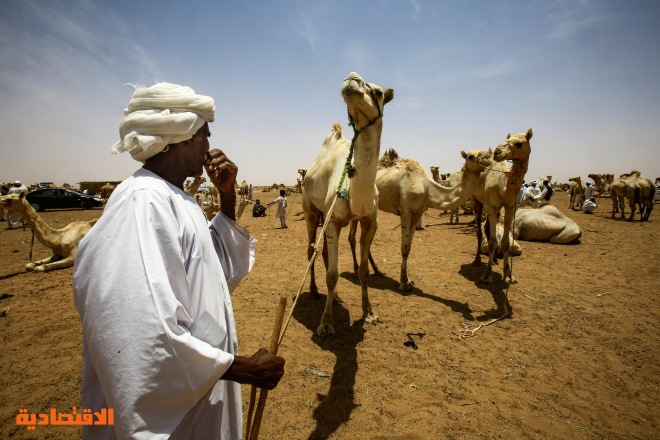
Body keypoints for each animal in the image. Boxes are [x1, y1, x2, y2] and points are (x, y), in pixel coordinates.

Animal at [302, 73, 394, 340]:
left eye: (379, 92)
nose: (352, 79)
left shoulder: (369, 222)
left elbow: (363, 271)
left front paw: (369, 313)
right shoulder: (334, 221)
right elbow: (332, 275)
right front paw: (326, 324)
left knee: (322, 251)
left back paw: (337, 298)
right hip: (310, 210)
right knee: (311, 250)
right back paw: (314, 291)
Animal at [350, 148, 490, 292]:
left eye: (486, 153)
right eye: (470, 156)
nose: (488, 159)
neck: (427, 187)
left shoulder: (418, 212)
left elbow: (408, 248)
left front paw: (408, 281)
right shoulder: (406, 211)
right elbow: (404, 247)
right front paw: (403, 283)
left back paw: (377, 270)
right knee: (352, 237)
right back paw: (356, 268)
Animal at [472, 129, 532, 284]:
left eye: (519, 143)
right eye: (508, 139)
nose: (497, 151)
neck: (503, 187)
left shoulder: (511, 208)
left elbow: (505, 242)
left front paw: (509, 275)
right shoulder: (492, 207)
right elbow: (493, 242)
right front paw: (487, 276)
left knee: (487, 229)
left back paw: (494, 261)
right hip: (477, 201)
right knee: (480, 230)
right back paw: (477, 260)